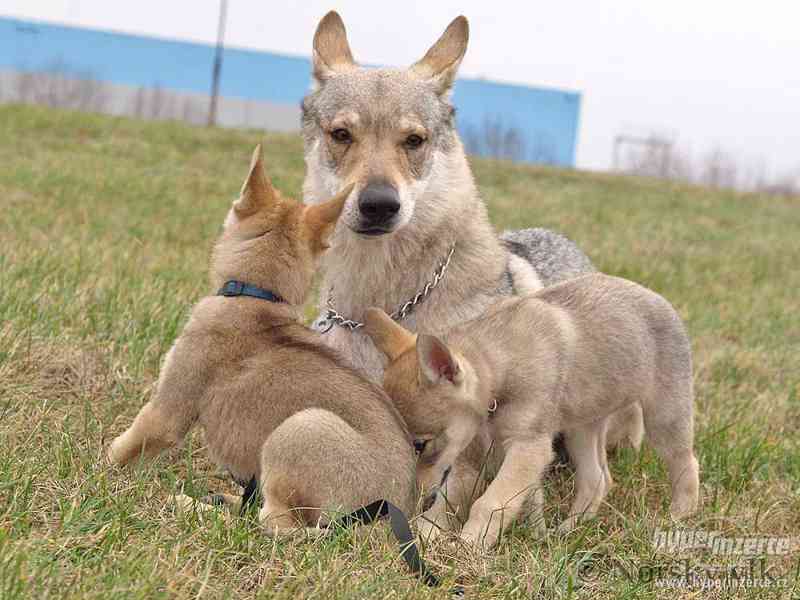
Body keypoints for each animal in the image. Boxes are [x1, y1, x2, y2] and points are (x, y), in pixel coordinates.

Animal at [108, 145, 416, 536]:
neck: (256, 297)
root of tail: (386, 522)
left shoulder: (166, 412)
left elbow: (122, 449)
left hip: (300, 429)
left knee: (271, 527)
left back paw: (193, 507)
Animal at [366, 274, 696, 552]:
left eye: (420, 445)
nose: (413, 500)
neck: (503, 366)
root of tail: (661, 300)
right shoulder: (474, 456)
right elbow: (450, 501)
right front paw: (425, 533)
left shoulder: (529, 448)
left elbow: (491, 502)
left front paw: (470, 544)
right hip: (582, 431)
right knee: (598, 479)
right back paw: (570, 528)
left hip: (664, 420)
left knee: (686, 464)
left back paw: (678, 518)